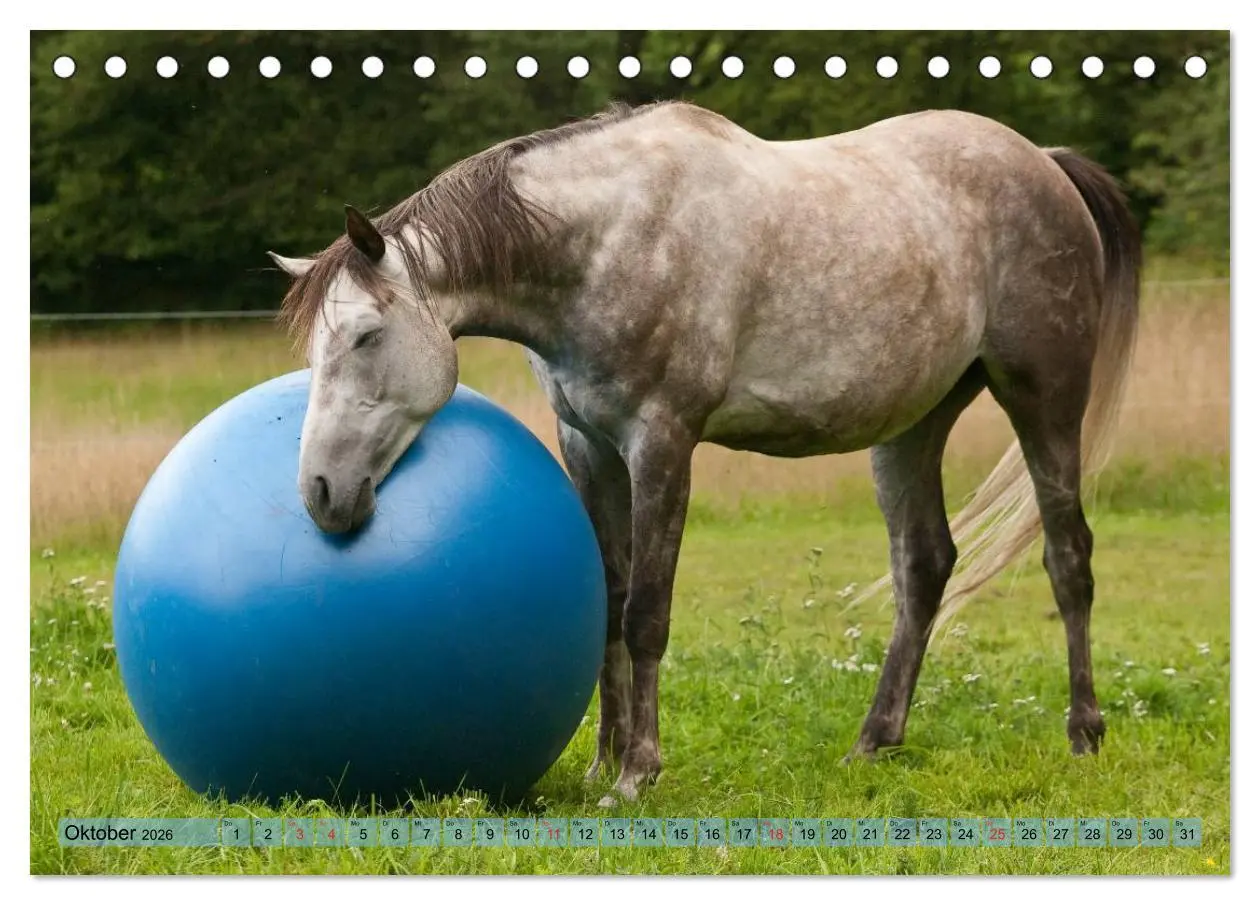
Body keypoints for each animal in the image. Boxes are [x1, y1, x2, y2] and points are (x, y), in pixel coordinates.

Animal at [269, 101, 1140, 807]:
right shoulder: (589, 446)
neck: (604, 241)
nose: (321, 492)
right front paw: (601, 762)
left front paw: (636, 773)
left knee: (1068, 556)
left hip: (1043, 401)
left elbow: (646, 611)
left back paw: (1083, 734)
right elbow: (609, 602)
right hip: (912, 427)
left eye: (366, 336)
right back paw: (871, 742)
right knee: (924, 565)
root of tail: (1043, 163)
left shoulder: (661, 441)